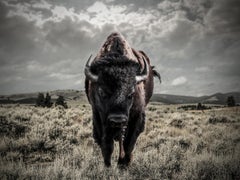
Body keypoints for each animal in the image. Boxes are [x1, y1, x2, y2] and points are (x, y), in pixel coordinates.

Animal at [84, 32, 161, 167]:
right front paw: (108, 165)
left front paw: (124, 164)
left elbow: (128, 143)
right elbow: (107, 144)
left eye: (131, 94)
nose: (117, 120)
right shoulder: (99, 115)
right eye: (102, 92)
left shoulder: (136, 116)